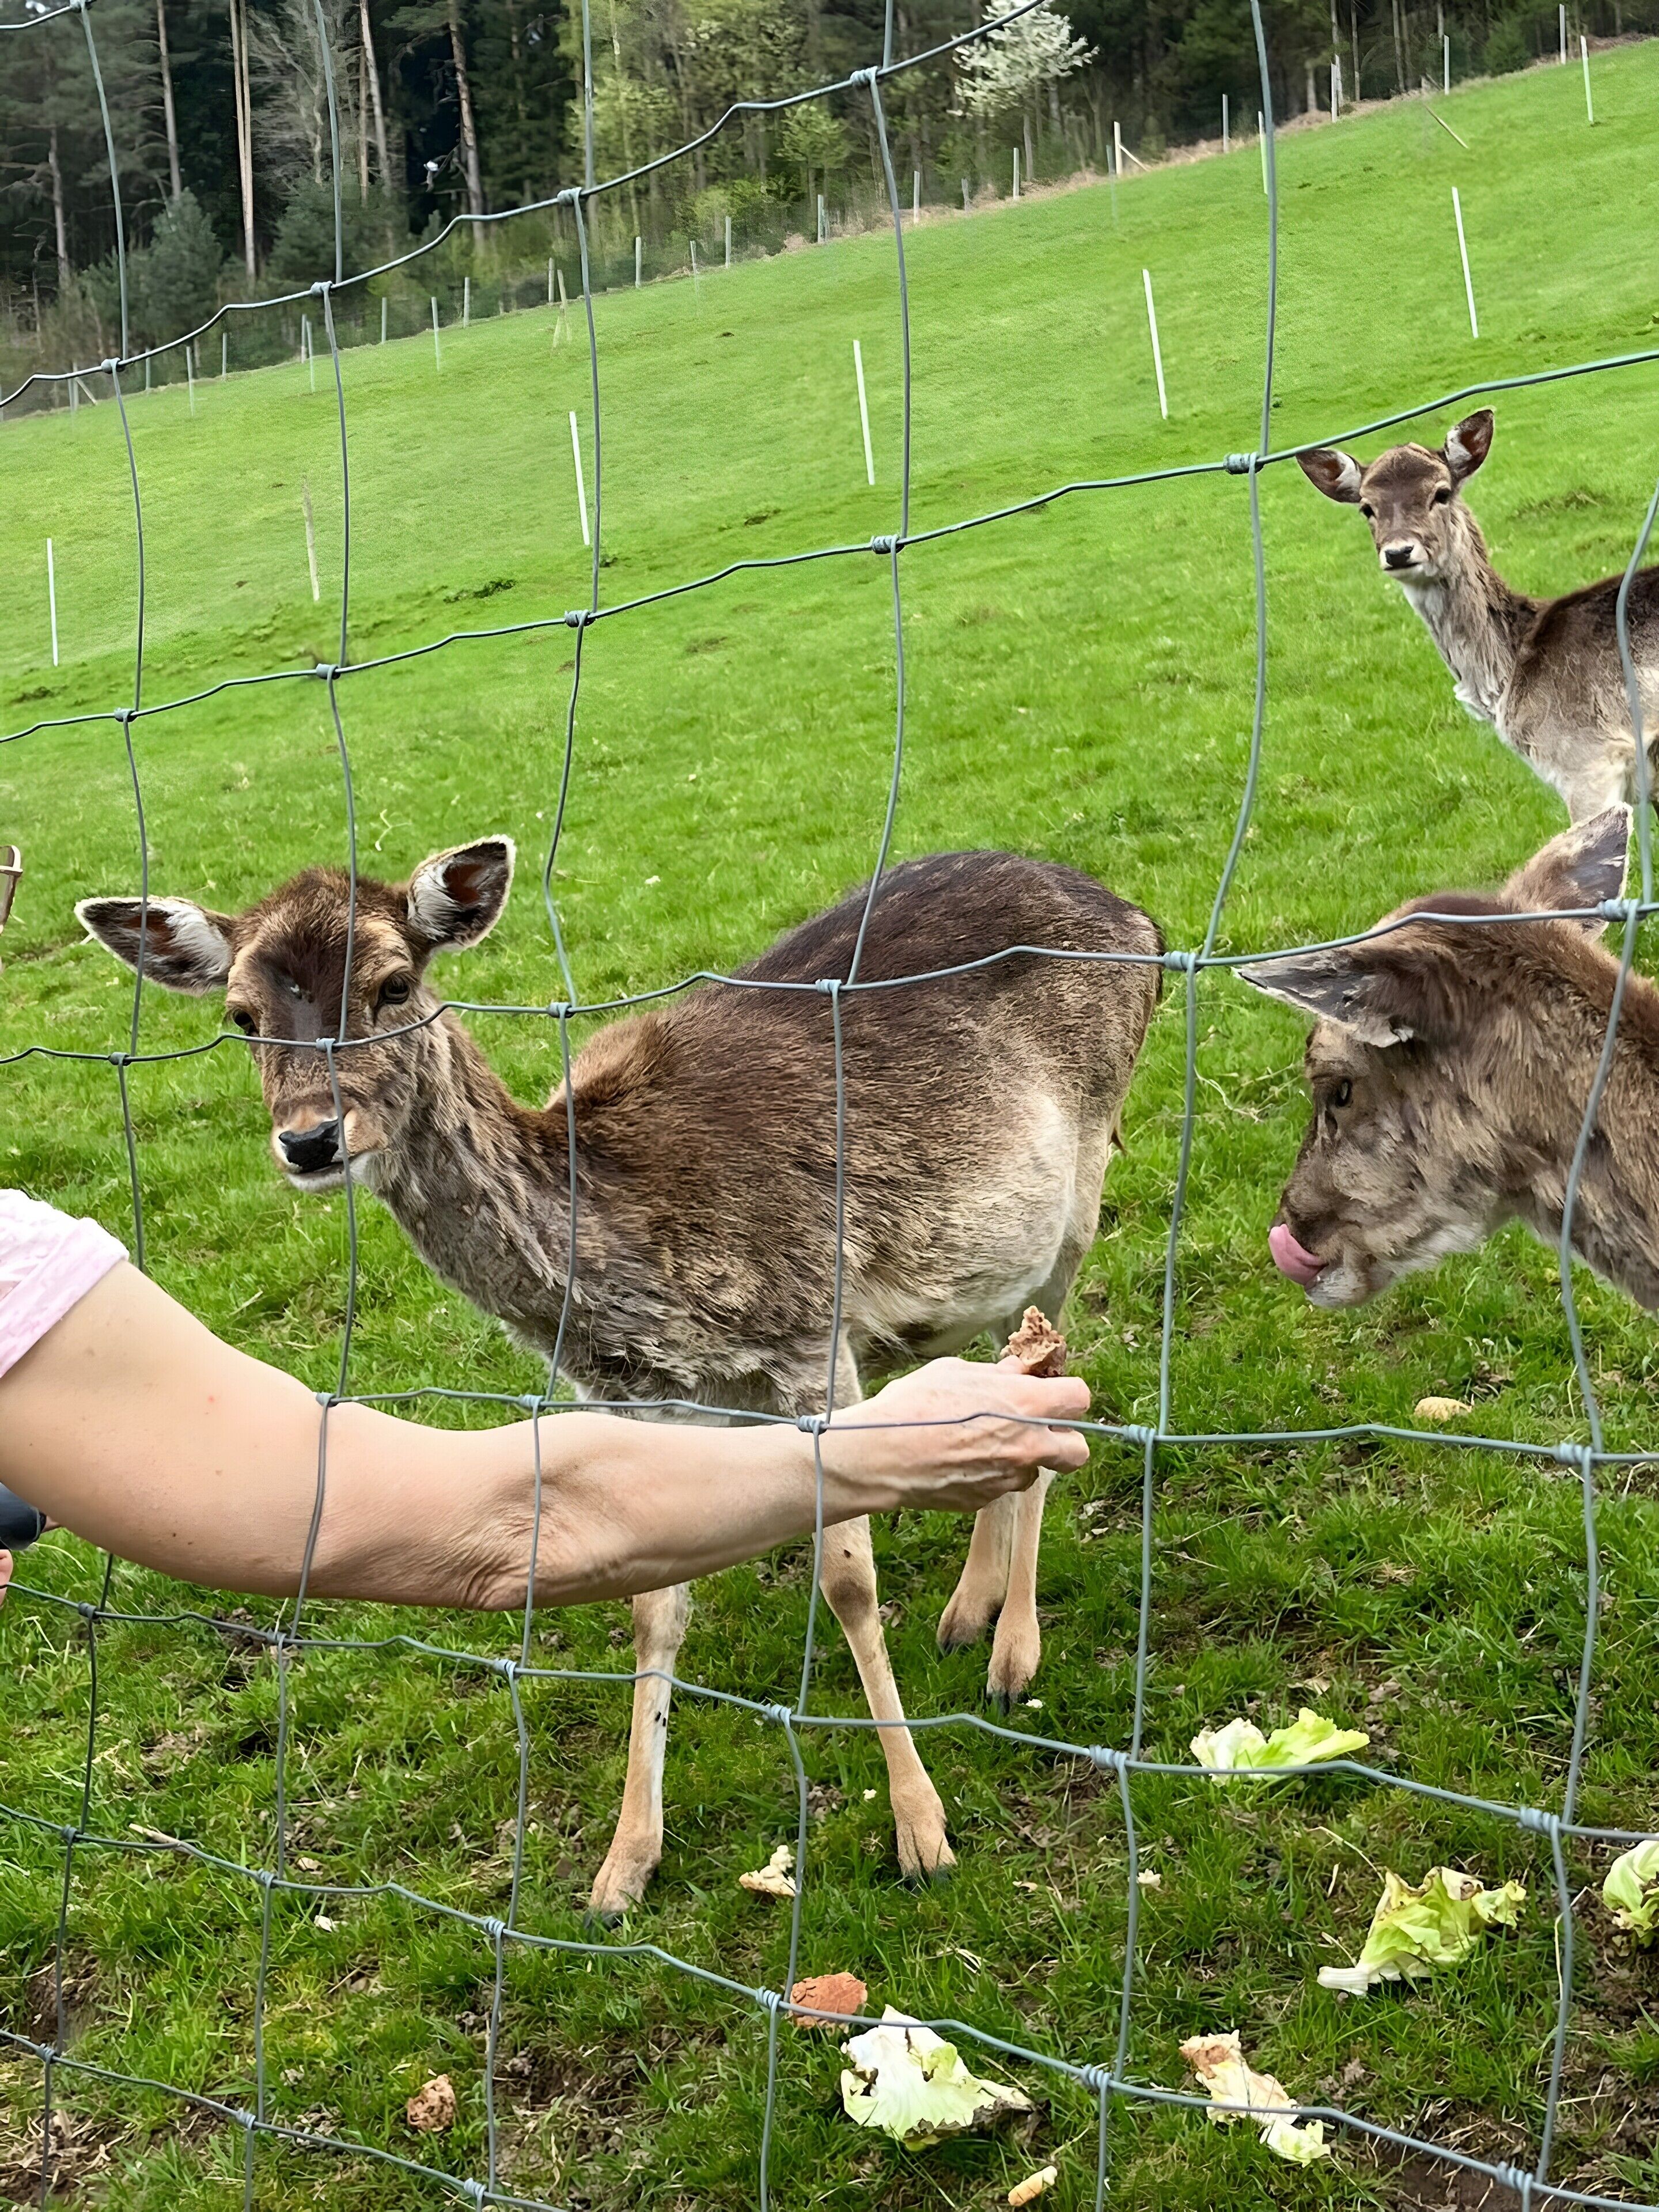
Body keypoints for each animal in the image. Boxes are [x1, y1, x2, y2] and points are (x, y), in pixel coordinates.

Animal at [79, 840, 1162, 1919]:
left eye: (394, 984)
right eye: (240, 1016)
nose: (310, 1139)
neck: (641, 1279)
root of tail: (1140, 916)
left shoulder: (812, 1335)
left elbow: (847, 1581)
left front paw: (922, 1830)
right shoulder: (646, 1400)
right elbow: (654, 1602)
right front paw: (622, 1866)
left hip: (1082, 1190)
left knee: (1058, 1363)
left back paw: (1013, 1654)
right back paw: (969, 1611)